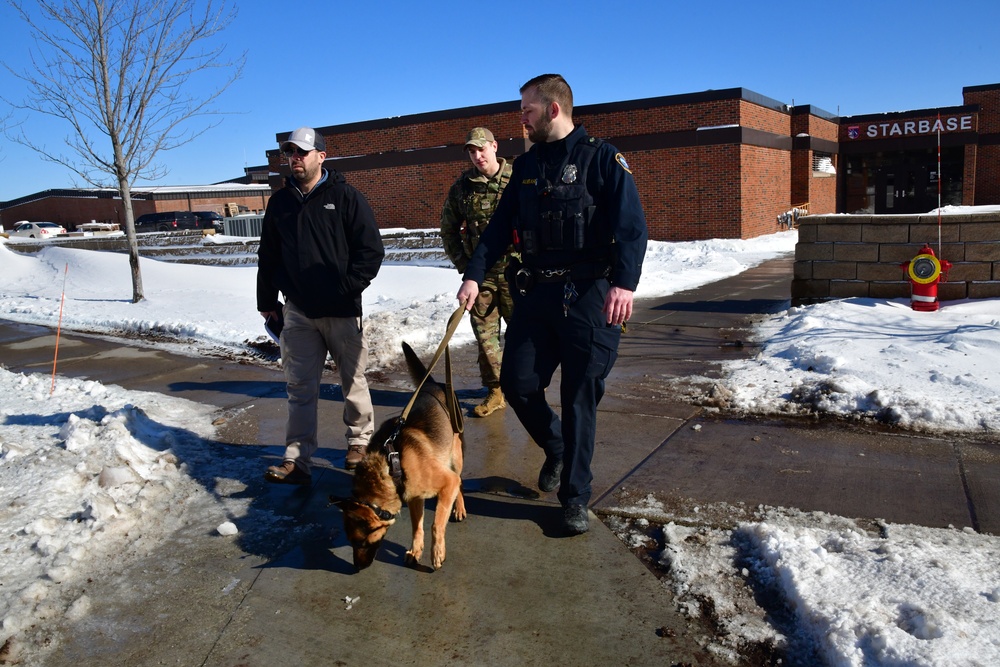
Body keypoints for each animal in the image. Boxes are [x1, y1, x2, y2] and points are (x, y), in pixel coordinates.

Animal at [332, 344, 464, 568]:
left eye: (359, 542)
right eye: (350, 542)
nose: (358, 567)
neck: (389, 464)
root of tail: (432, 383)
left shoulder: (448, 482)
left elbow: (436, 523)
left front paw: (437, 552)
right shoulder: (414, 496)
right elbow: (417, 526)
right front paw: (415, 550)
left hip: (456, 456)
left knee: (460, 480)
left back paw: (459, 507)